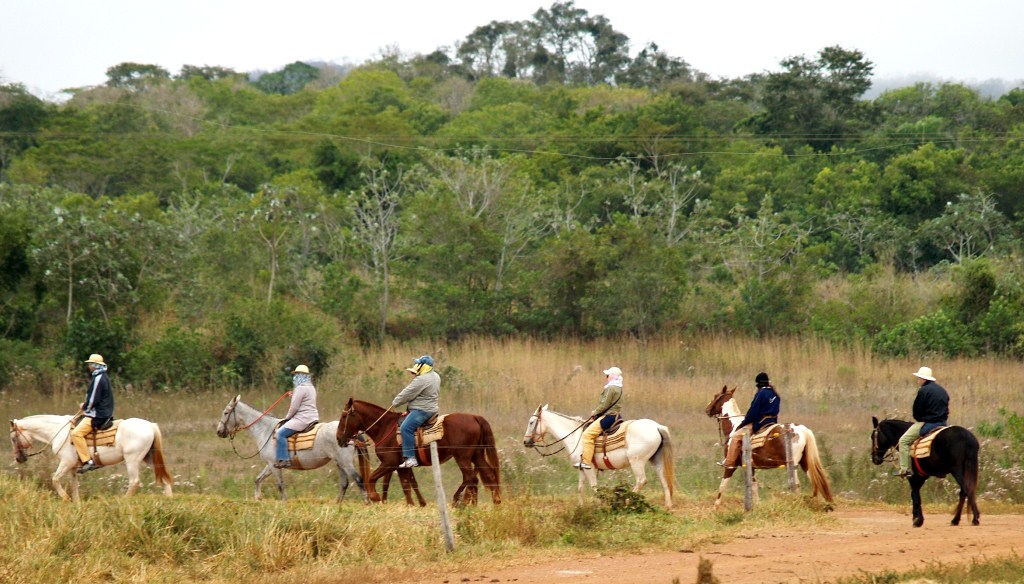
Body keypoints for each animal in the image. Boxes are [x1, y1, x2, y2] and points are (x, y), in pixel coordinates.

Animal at [9, 411, 173, 497]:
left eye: (13, 438)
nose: (19, 458)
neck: (58, 431)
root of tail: (150, 426)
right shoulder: (73, 467)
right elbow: (74, 486)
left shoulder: (66, 462)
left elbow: (55, 479)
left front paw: (66, 499)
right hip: (149, 458)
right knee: (164, 479)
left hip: (132, 460)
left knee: (134, 482)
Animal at [216, 391, 368, 499]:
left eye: (225, 412)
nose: (219, 431)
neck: (266, 430)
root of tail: (353, 433)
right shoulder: (271, 464)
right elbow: (258, 479)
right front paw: (258, 498)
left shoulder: (273, 465)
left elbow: (280, 485)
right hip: (339, 462)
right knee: (344, 484)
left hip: (345, 462)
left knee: (359, 480)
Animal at [335, 395, 499, 504]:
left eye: (343, 416)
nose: (338, 438)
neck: (384, 427)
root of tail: (475, 417)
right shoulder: (402, 466)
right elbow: (408, 485)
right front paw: (416, 504)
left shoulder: (389, 463)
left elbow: (372, 478)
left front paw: (375, 497)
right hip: (477, 455)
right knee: (488, 476)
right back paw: (493, 502)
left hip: (462, 458)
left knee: (471, 478)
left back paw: (462, 503)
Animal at [524, 403, 675, 504]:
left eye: (531, 422)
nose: (526, 441)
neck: (576, 436)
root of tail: (657, 427)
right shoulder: (581, 468)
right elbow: (580, 489)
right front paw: (581, 508)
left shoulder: (589, 467)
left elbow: (595, 488)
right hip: (656, 460)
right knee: (664, 480)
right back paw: (668, 507)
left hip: (637, 461)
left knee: (641, 480)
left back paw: (625, 502)